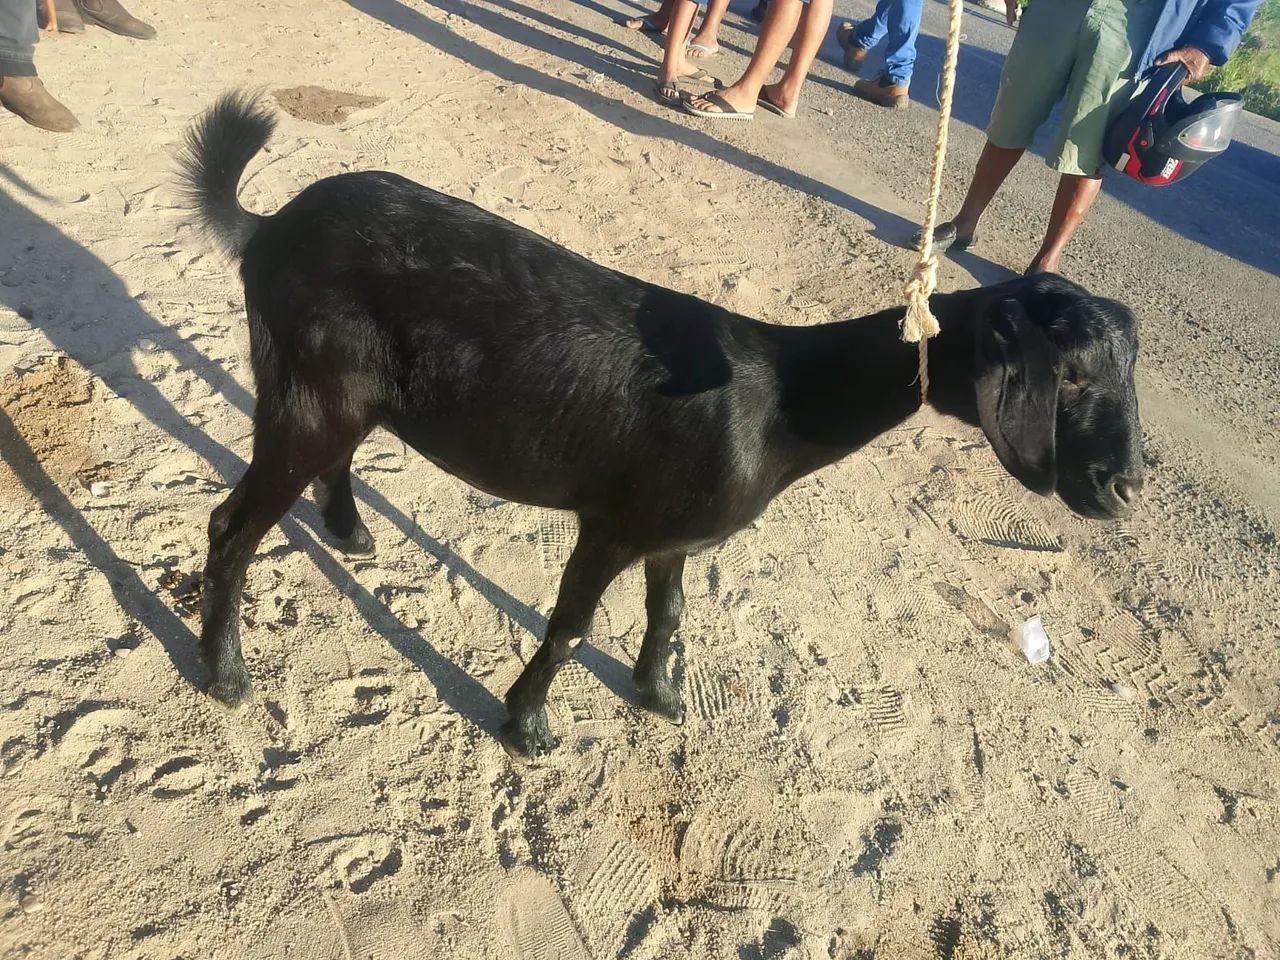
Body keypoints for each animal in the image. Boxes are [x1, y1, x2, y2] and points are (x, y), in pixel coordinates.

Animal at [177, 93, 1143, 757]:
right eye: (1071, 375)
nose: (1124, 486)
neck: (781, 401)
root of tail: (267, 228)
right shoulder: (614, 521)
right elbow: (572, 624)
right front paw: (527, 728)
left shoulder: (673, 533)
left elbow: (670, 608)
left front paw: (659, 696)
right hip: (307, 389)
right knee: (234, 523)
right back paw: (225, 672)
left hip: (343, 392)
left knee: (333, 460)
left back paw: (350, 532)